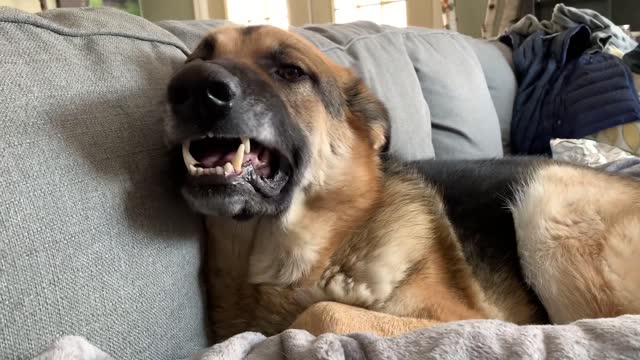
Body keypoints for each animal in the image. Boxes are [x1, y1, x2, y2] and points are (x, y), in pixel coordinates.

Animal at [165, 25, 640, 340]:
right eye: (198, 57)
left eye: (291, 71)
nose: (192, 86)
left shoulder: (467, 319)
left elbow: (323, 312)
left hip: (548, 206)